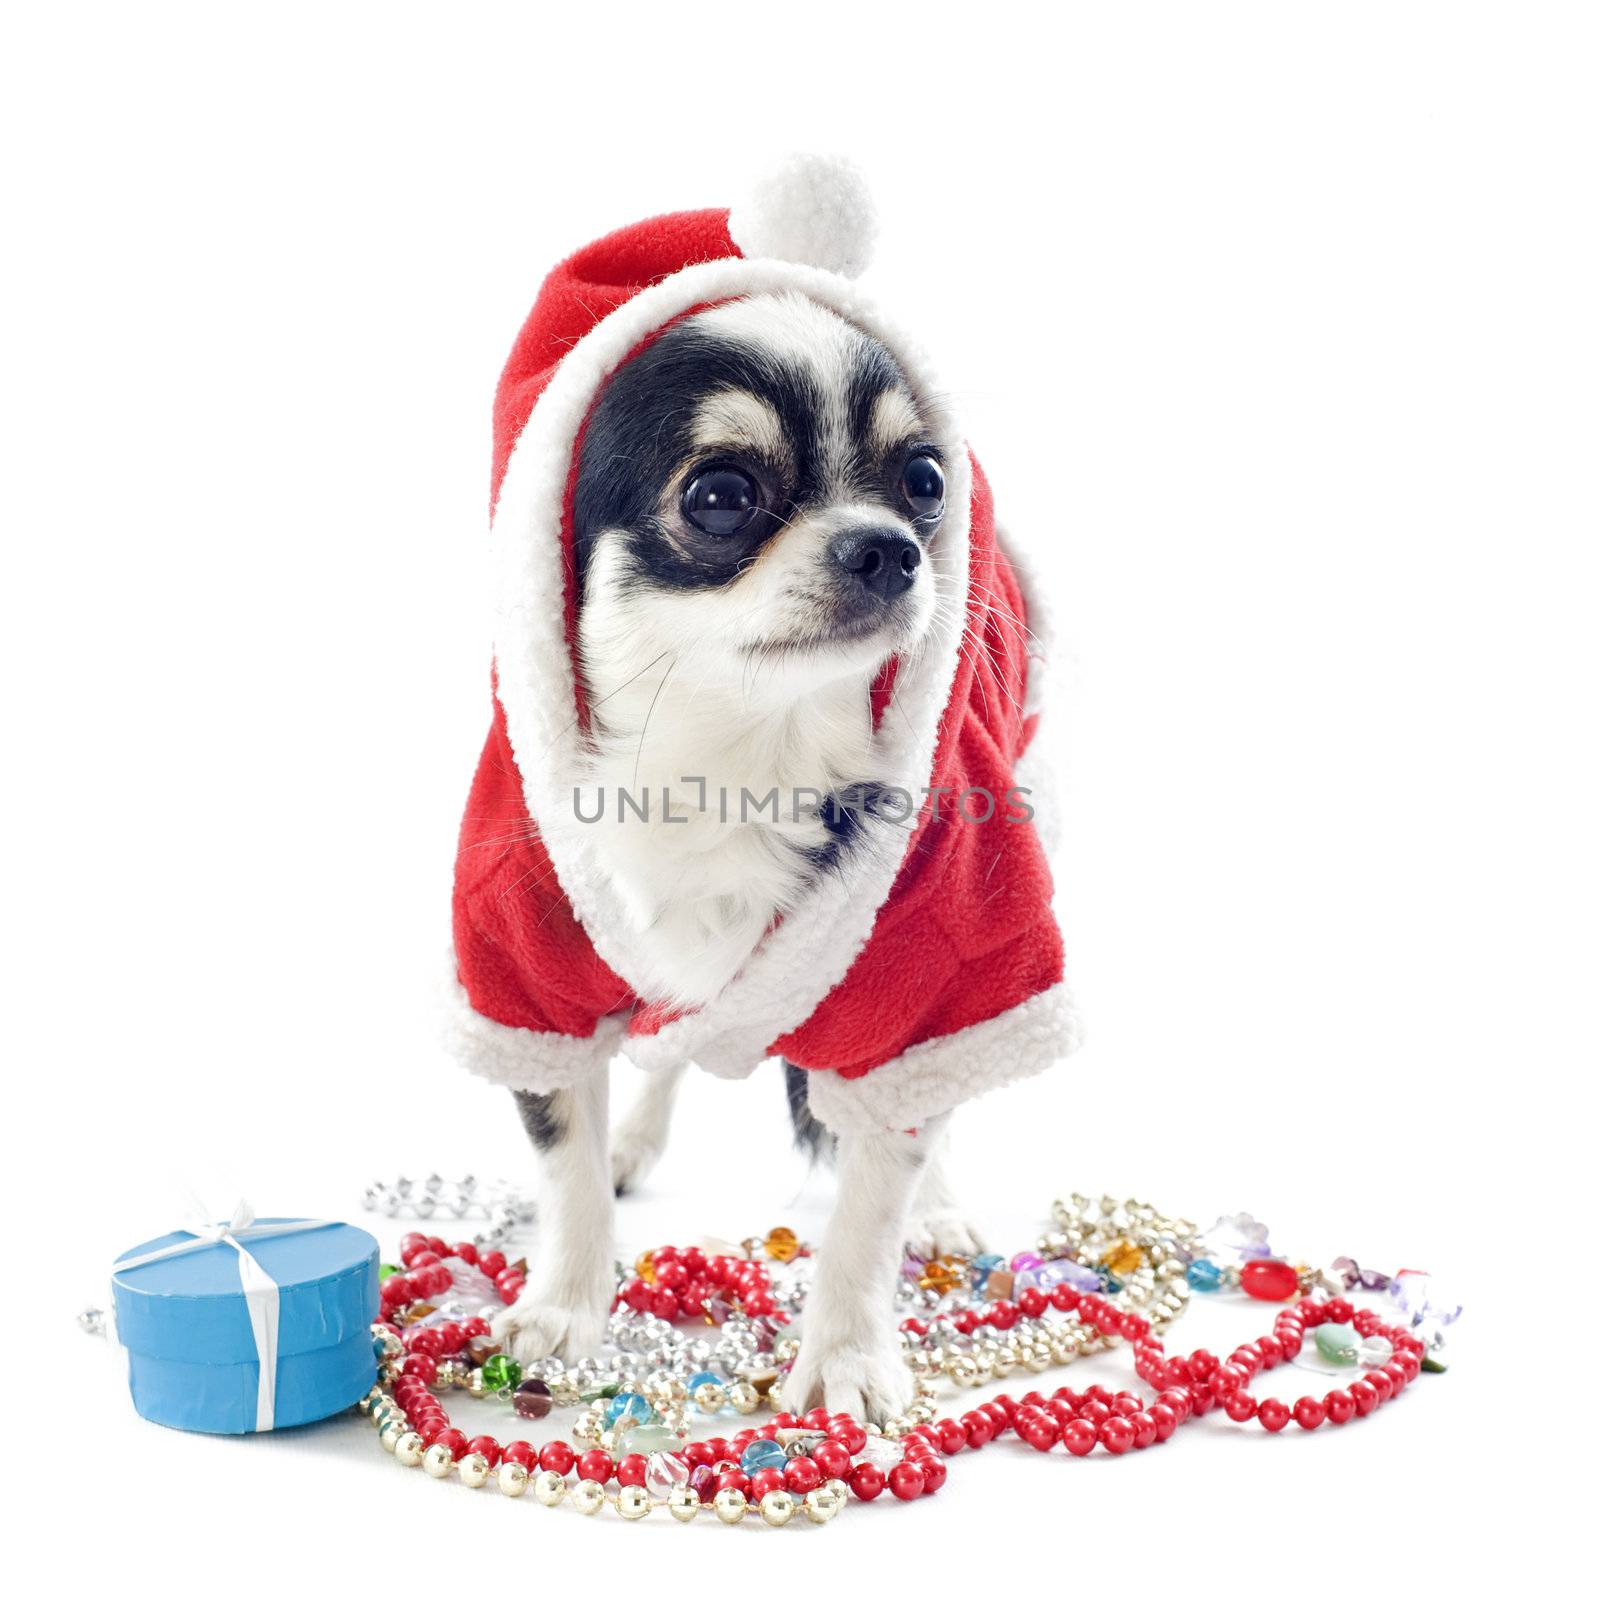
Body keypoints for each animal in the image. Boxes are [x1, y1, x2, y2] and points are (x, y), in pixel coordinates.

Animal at [451, 159, 1075, 1414]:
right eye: (721, 496)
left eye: (924, 482)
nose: (893, 546)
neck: (740, 754)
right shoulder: (526, 966)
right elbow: (564, 1146)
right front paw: (565, 1303)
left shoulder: (933, 963)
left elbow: (872, 1194)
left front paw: (847, 1356)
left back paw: (938, 1204)